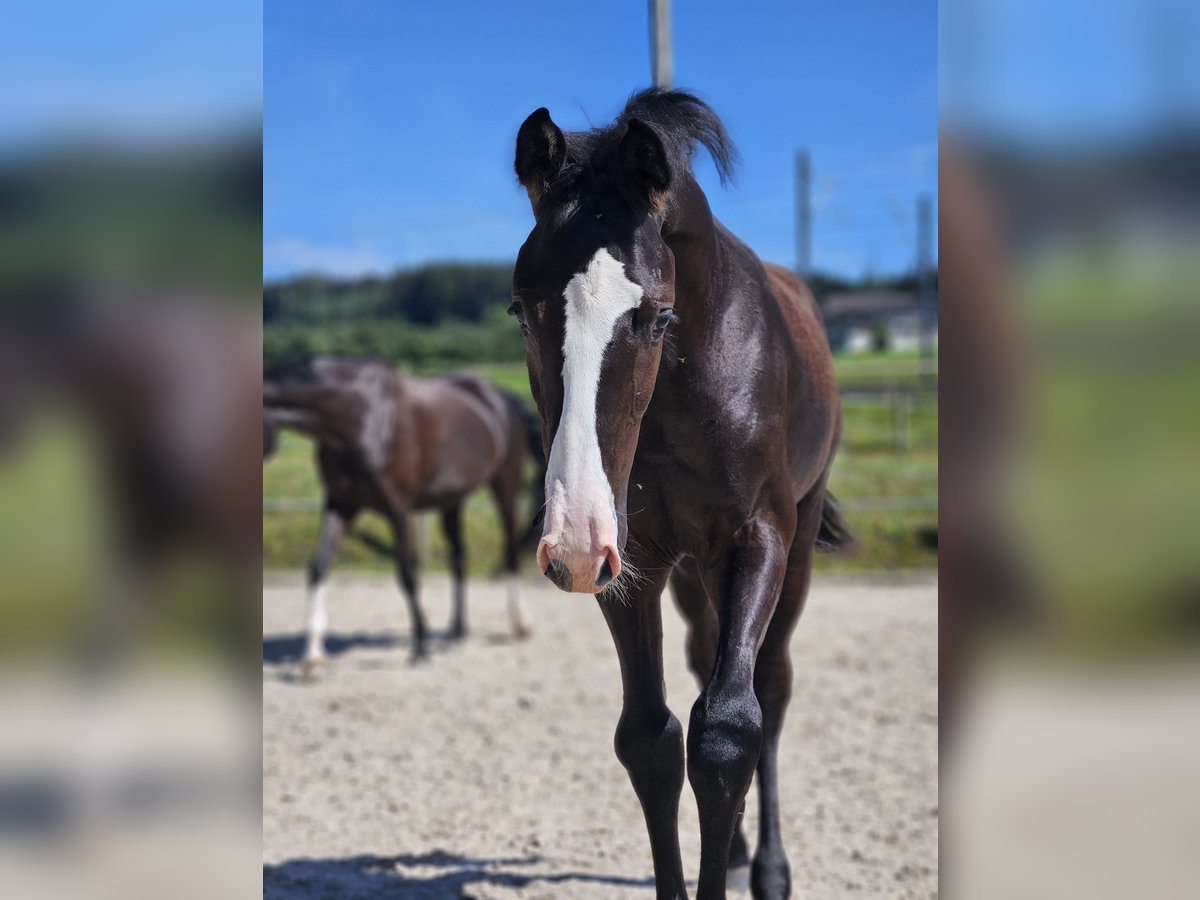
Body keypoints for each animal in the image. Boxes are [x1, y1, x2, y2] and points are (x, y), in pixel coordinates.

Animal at [265, 360, 547, 672]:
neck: (360, 419)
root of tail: (497, 395)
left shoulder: (397, 509)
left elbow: (408, 575)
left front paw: (421, 649)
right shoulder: (340, 505)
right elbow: (318, 567)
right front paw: (312, 657)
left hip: (505, 484)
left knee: (510, 550)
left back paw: (520, 623)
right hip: (453, 499)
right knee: (459, 557)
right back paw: (457, 633)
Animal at [511, 93, 849, 900]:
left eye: (655, 316)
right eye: (518, 309)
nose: (572, 541)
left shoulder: (756, 540)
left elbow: (728, 730)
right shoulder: (630, 562)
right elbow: (652, 739)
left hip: (791, 550)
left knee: (770, 687)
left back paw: (767, 868)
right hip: (694, 573)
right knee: (706, 662)